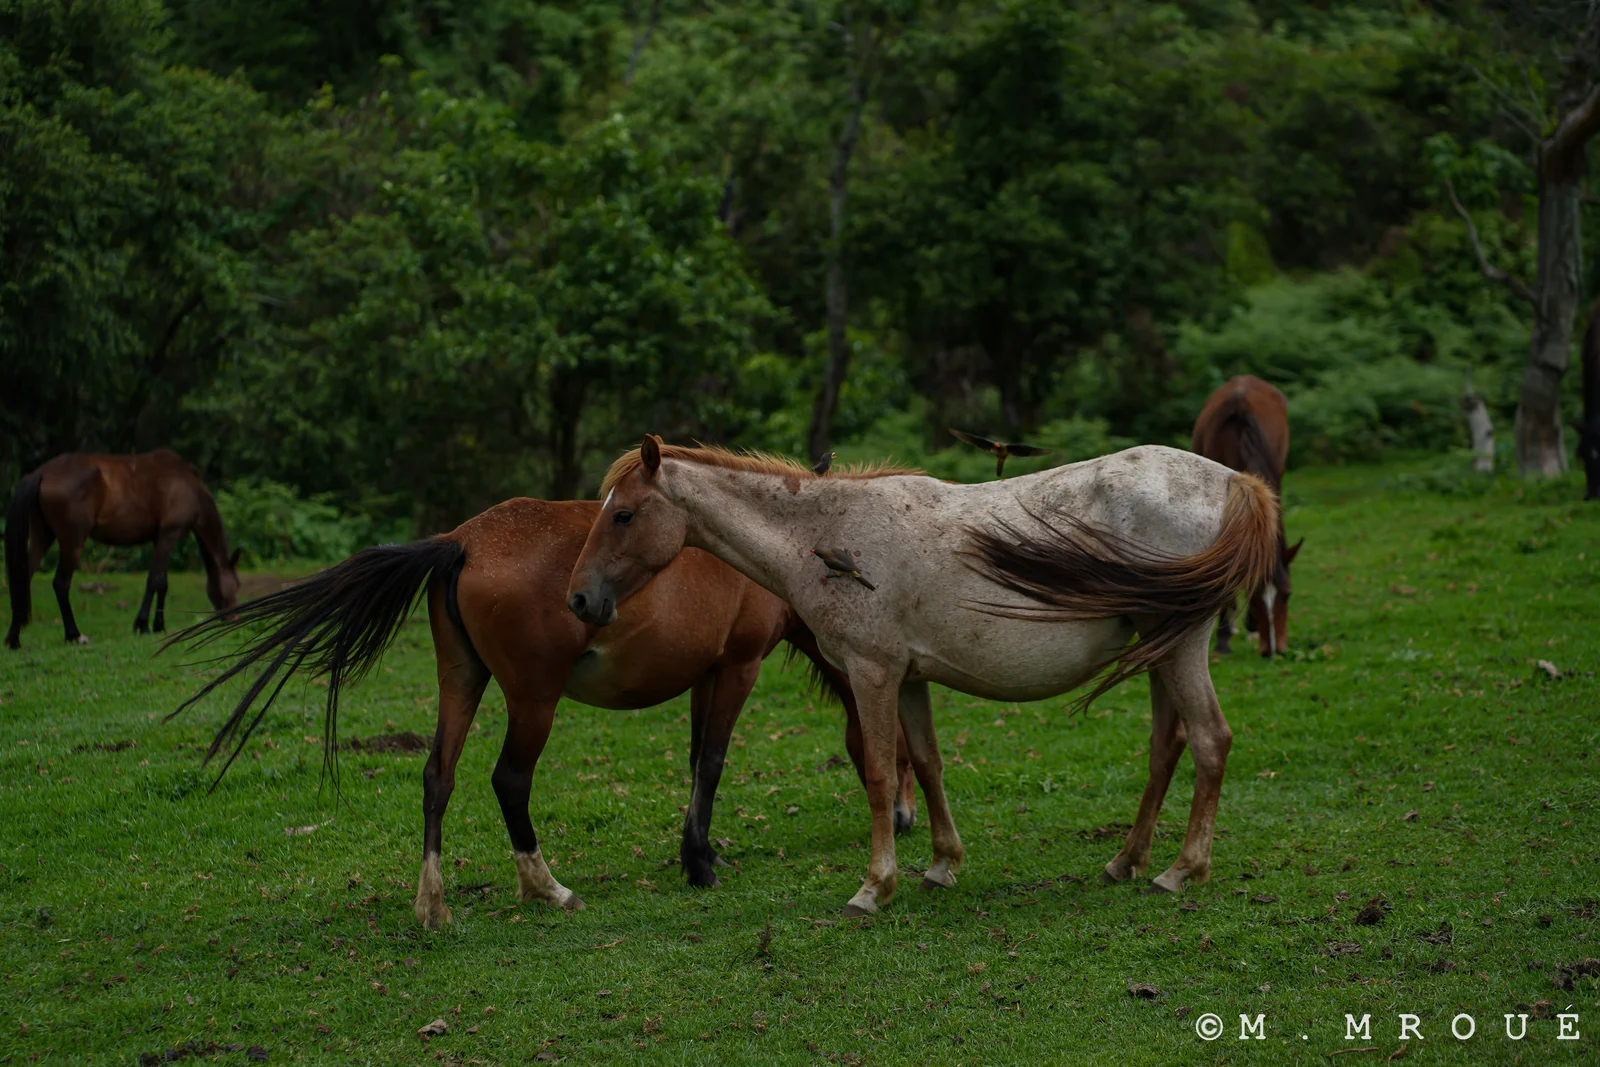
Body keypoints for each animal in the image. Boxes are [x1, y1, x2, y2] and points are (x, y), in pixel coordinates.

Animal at [5, 449, 241, 649]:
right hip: (72, 542)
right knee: (61, 584)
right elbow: (155, 581)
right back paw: (74, 635)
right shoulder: (169, 535)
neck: (188, 485)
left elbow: (162, 583)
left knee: (22, 578)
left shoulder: (159, 539)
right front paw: (144, 625)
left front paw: (157, 624)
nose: (234, 619)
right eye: (238, 585)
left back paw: (14, 639)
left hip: (42, 536)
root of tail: (42, 473)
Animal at [167, 496, 918, 928]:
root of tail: (464, 539)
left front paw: (696, 850)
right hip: (533, 699)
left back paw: (432, 904)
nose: (906, 816)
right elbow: (710, 760)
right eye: (906, 747)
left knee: (436, 776)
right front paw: (700, 862)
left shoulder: (705, 676)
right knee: (509, 780)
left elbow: (693, 761)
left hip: (461, 681)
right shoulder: (737, 667)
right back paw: (547, 888)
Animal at [567, 437, 1277, 916]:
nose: (579, 600)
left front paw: (873, 886)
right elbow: (928, 763)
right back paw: (1126, 860)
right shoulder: (909, 678)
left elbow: (883, 774)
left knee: (1210, 741)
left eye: (623, 514)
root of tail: (1232, 481)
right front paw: (941, 865)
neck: (826, 532)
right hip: (1161, 651)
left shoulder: (872, 673)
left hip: (1180, 647)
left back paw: (1181, 871)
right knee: (1167, 747)